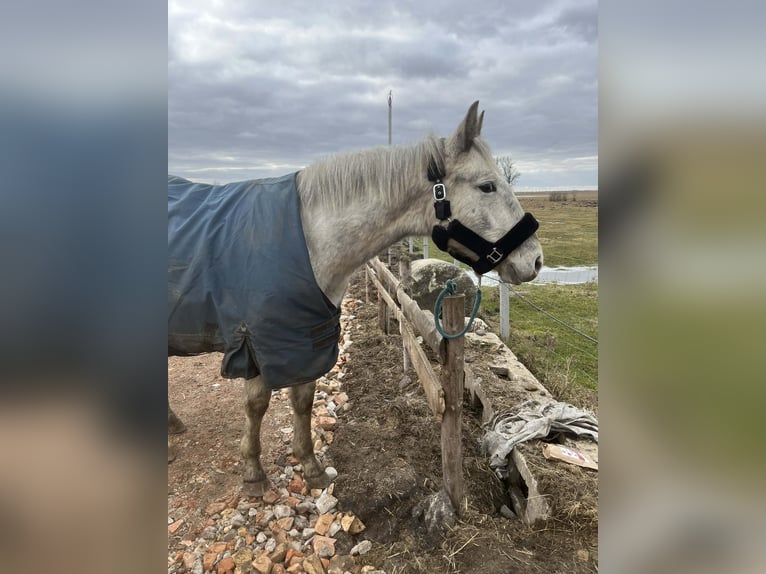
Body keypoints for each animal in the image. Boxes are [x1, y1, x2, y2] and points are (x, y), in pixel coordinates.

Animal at [168, 101, 543, 497]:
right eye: (487, 186)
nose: (535, 260)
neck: (309, 240)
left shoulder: (306, 340)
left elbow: (302, 400)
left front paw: (311, 467)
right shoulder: (256, 341)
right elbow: (256, 404)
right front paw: (253, 473)